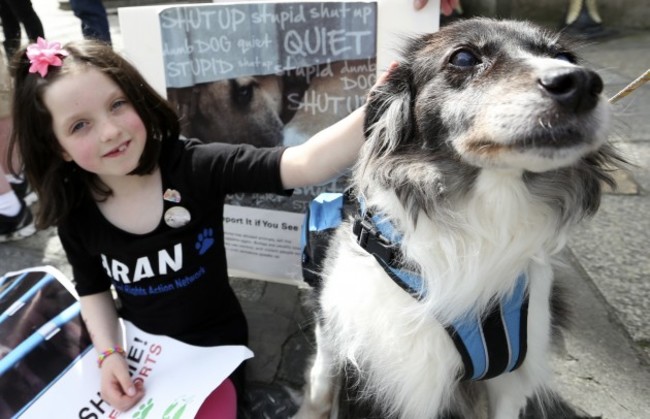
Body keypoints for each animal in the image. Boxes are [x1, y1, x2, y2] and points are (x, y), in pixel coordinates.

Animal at [294, 17, 624, 419]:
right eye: (464, 57)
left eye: (565, 57)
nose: (582, 83)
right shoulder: (397, 366)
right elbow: (324, 380)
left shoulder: (513, 374)